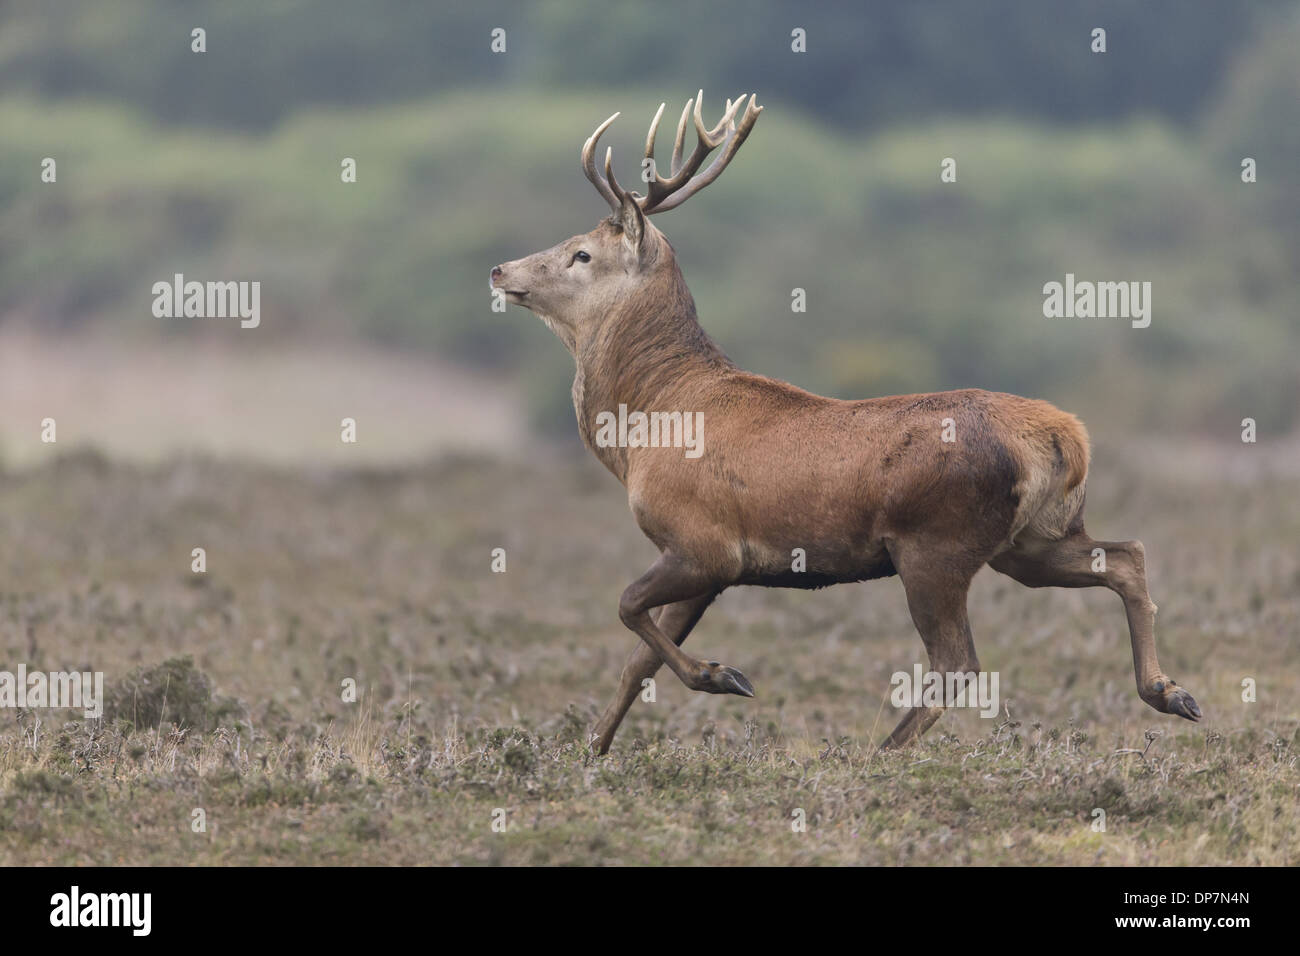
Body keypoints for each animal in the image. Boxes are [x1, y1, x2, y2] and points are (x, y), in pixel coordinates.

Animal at [489, 91, 1202, 755]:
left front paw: (724, 676)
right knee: (1126, 556)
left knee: (959, 663)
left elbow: (628, 607)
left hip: (934, 543)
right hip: (1029, 540)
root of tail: (1064, 438)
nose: (500, 270)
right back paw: (1170, 692)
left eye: (582, 254)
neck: (647, 427)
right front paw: (592, 751)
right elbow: (637, 661)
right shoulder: (709, 565)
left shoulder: (704, 542)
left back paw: (877, 756)